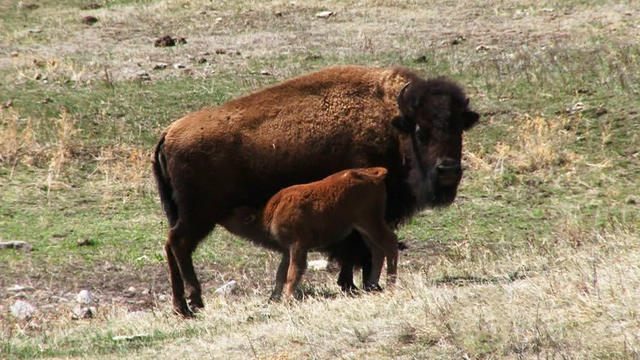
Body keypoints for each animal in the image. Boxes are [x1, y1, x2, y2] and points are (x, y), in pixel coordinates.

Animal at [221, 167, 400, 300]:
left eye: (234, 214)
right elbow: (281, 274)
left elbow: (293, 272)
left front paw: (288, 299)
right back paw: (372, 285)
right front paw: (274, 298)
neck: (270, 213)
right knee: (377, 250)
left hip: (370, 222)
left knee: (389, 243)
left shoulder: (298, 246)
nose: (222, 216)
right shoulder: (287, 250)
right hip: (364, 229)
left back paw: (390, 284)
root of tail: (375, 174)